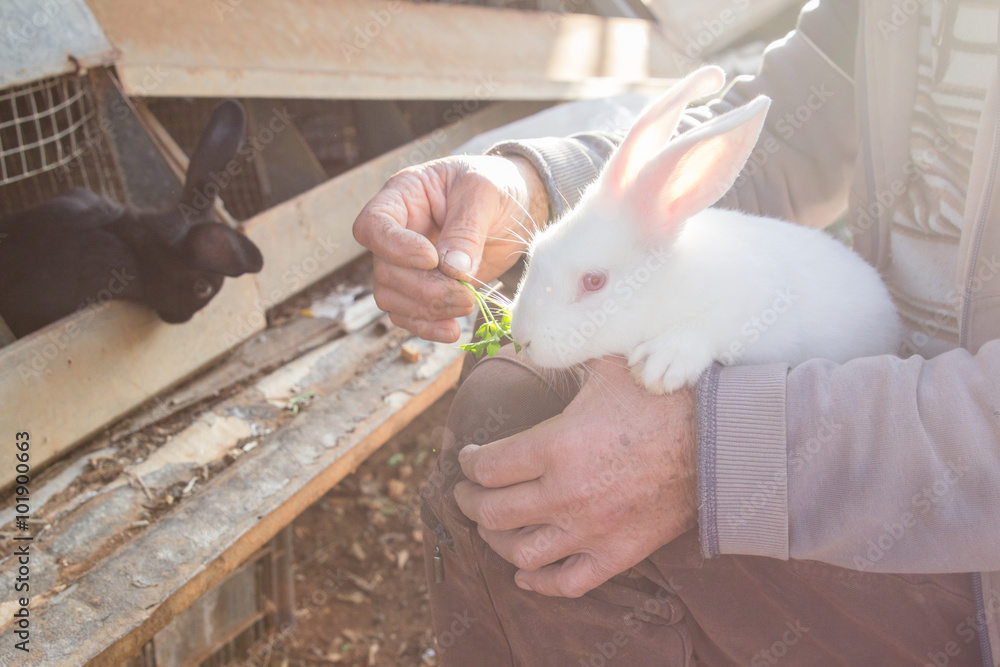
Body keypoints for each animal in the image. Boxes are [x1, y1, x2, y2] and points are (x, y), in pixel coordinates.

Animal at [508, 66, 902, 394]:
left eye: (594, 281)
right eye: (535, 252)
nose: (522, 337)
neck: (665, 287)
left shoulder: (763, 308)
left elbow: (715, 327)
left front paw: (660, 363)